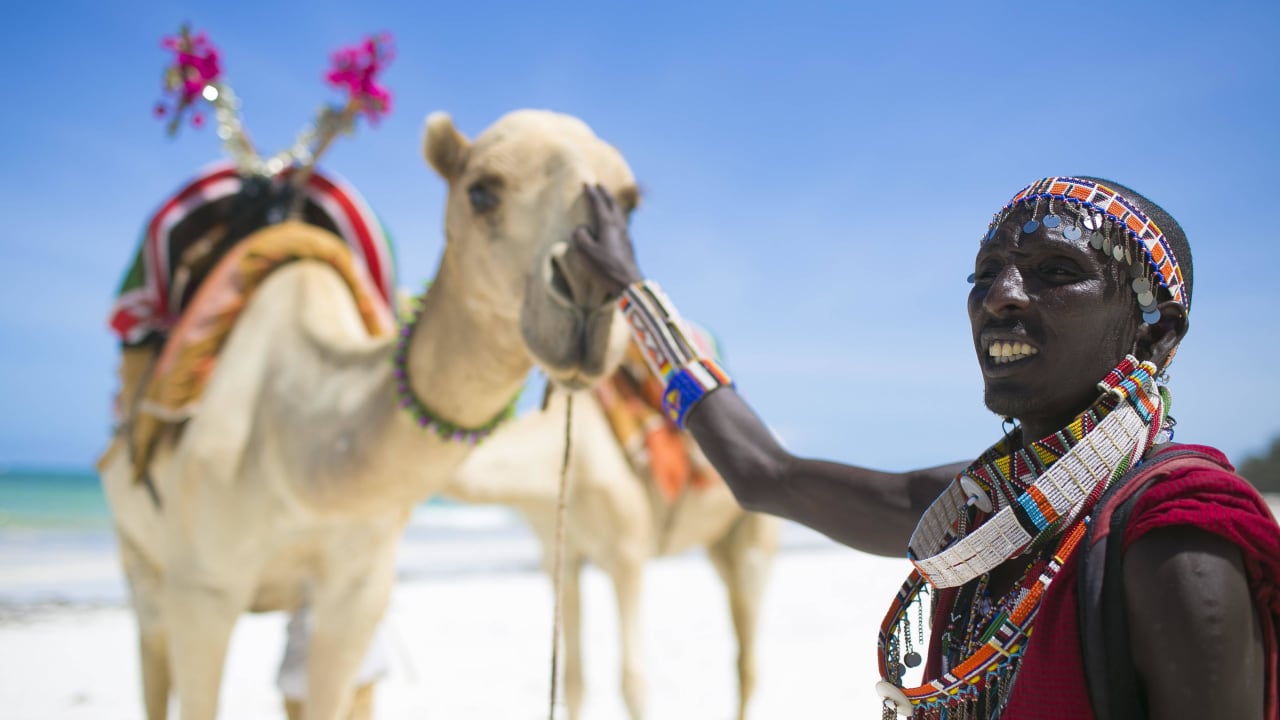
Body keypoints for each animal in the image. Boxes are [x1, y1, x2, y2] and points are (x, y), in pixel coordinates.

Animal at [96, 107, 640, 717]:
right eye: (481, 191)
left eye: (629, 202)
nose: (590, 289)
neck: (297, 450)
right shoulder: (201, 589)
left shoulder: (357, 593)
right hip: (139, 555)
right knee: (151, 648)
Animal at [440, 368, 778, 717]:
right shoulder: (560, 558)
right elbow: (573, 682)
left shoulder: (627, 554)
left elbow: (633, 684)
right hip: (720, 546)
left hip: (756, 539)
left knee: (749, 659)